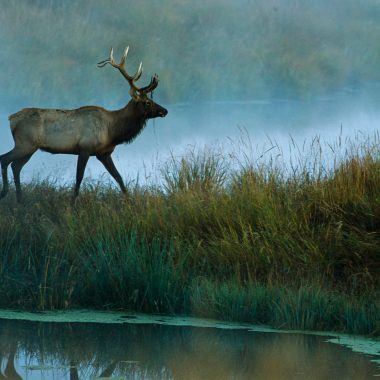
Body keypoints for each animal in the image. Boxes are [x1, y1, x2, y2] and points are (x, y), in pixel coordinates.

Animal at [0, 46, 168, 202]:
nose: (164, 111)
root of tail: (11, 118)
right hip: (25, 144)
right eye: (147, 102)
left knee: (16, 166)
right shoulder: (85, 148)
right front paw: (72, 204)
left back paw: (20, 199)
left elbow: (119, 177)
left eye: (151, 99)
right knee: (5, 159)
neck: (112, 131)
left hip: (29, 148)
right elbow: (79, 178)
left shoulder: (104, 153)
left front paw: (129, 201)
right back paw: (5, 192)